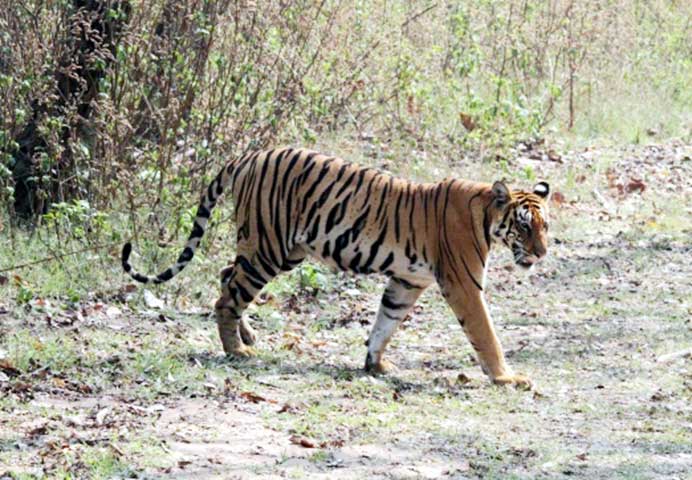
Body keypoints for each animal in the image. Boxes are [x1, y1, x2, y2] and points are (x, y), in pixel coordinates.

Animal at [121, 146, 548, 386]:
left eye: (545, 226)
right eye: (525, 226)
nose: (542, 253)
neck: (487, 216)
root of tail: (248, 156)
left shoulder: (406, 281)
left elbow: (385, 322)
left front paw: (375, 364)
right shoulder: (463, 284)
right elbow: (486, 335)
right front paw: (507, 378)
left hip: (280, 251)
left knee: (227, 277)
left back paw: (248, 337)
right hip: (268, 248)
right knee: (228, 297)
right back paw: (237, 351)